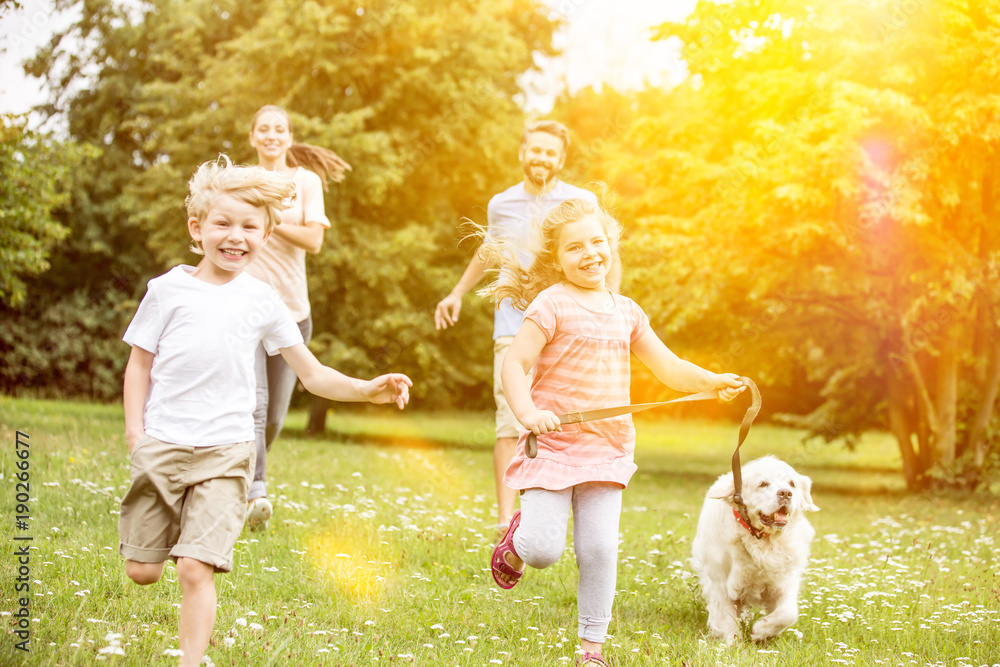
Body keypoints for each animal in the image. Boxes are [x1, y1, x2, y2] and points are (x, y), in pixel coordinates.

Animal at [688, 456, 820, 644]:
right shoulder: (722, 583)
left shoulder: (784, 581)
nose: (785, 493)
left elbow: (788, 614)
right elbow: (728, 618)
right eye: (763, 484)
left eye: (792, 483)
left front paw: (761, 630)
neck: (763, 541)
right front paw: (733, 644)